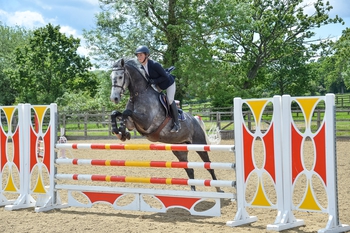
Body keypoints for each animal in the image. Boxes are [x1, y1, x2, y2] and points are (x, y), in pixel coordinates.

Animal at [109, 57, 221, 191]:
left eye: (120, 77)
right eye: (111, 77)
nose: (114, 98)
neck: (139, 94)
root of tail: (195, 120)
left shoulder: (146, 122)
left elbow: (127, 112)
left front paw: (121, 130)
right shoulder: (132, 124)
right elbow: (116, 113)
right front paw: (120, 132)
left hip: (199, 145)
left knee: (209, 166)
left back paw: (219, 189)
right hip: (180, 149)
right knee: (190, 169)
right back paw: (193, 191)